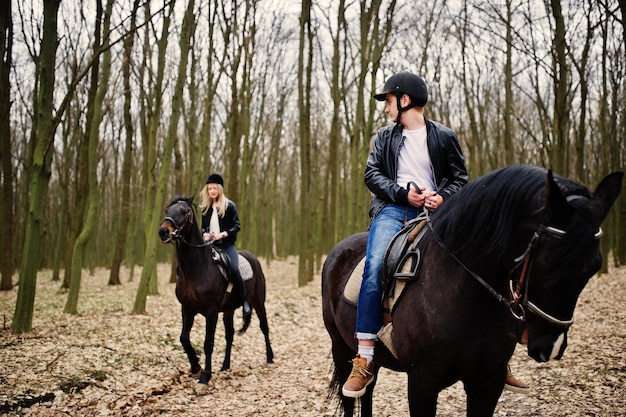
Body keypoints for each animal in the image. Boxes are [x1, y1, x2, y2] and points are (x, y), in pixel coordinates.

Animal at [157, 195, 272, 384]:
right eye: (167, 210)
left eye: (184, 211)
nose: (163, 232)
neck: (198, 268)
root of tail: (253, 258)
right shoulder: (187, 308)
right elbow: (184, 338)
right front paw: (195, 366)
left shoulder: (211, 312)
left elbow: (208, 343)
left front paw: (205, 375)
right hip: (228, 310)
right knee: (229, 335)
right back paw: (225, 365)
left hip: (258, 302)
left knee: (264, 327)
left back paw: (270, 358)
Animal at [322, 166, 620, 416]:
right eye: (550, 263)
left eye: (594, 266)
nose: (552, 346)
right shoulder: (422, 383)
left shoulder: (487, 383)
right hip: (342, 348)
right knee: (350, 396)